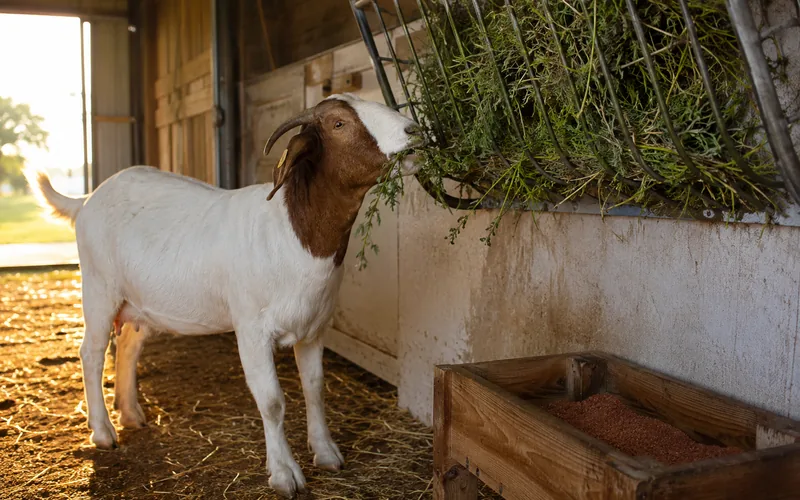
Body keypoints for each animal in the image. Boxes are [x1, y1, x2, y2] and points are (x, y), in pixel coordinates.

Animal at [26, 93, 423, 498]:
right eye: (338, 124)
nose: (414, 131)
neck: (290, 231)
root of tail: (86, 200)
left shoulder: (314, 327)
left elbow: (314, 389)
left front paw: (326, 453)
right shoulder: (251, 329)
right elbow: (272, 402)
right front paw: (284, 474)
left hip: (137, 302)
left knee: (128, 346)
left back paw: (132, 414)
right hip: (98, 287)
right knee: (91, 353)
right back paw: (103, 432)